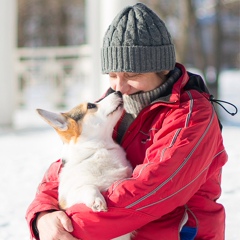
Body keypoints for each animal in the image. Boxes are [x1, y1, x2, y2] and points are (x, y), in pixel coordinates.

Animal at [37, 91, 133, 238]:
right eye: (91, 105)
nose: (117, 92)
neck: (96, 151)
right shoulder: (68, 201)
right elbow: (88, 187)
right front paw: (97, 200)